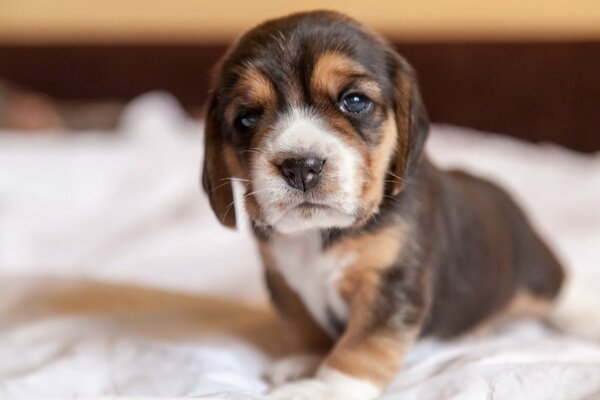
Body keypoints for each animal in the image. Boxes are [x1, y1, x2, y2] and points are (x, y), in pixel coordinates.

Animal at [202, 10, 568, 400]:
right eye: (247, 118)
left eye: (355, 101)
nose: (301, 166)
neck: (319, 232)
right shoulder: (282, 278)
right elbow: (301, 323)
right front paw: (304, 360)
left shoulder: (389, 284)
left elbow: (361, 346)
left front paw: (321, 388)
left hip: (536, 272)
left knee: (563, 290)